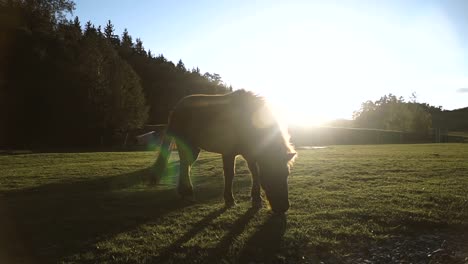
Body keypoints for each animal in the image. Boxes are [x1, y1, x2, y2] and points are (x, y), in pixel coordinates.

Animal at [154, 89, 296, 213]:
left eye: (286, 174)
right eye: (271, 173)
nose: (283, 207)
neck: (247, 121)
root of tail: (176, 108)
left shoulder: (251, 154)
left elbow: (254, 173)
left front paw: (256, 199)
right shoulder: (228, 153)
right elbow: (230, 174)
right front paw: (229, 199)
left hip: (194, 148)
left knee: (186, 165)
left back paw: (184, 192)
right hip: (185, 144)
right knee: (184, 165)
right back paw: (187, 192)